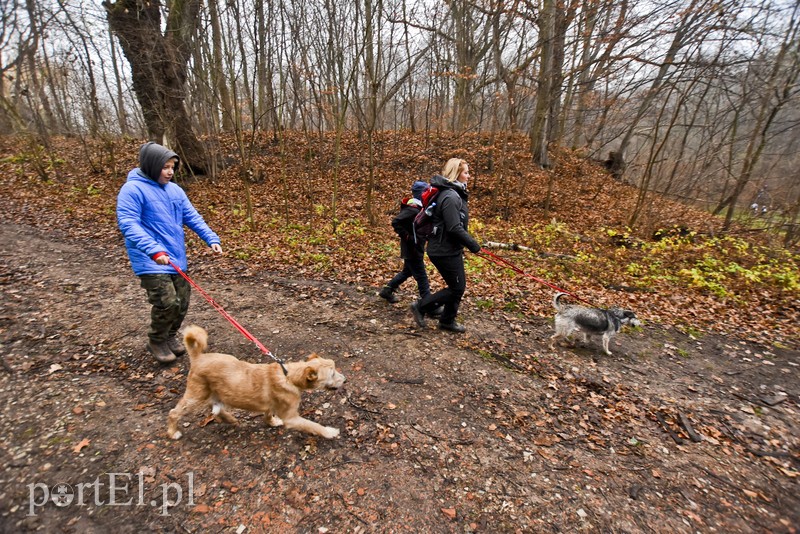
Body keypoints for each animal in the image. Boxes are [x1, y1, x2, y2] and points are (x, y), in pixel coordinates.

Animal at [167, 324, 346, 442]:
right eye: (332, 373)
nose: (345, 380)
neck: (289, 376)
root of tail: (197, 357)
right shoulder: (292, 418)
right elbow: (313, 425)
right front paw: (330, 432)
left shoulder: (271, 406)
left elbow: (268, 414)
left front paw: (272, 422)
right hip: (195, 397)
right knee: (174, 412)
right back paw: (173, 432)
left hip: (214, 392)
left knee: (215, 408)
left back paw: (229, 419)